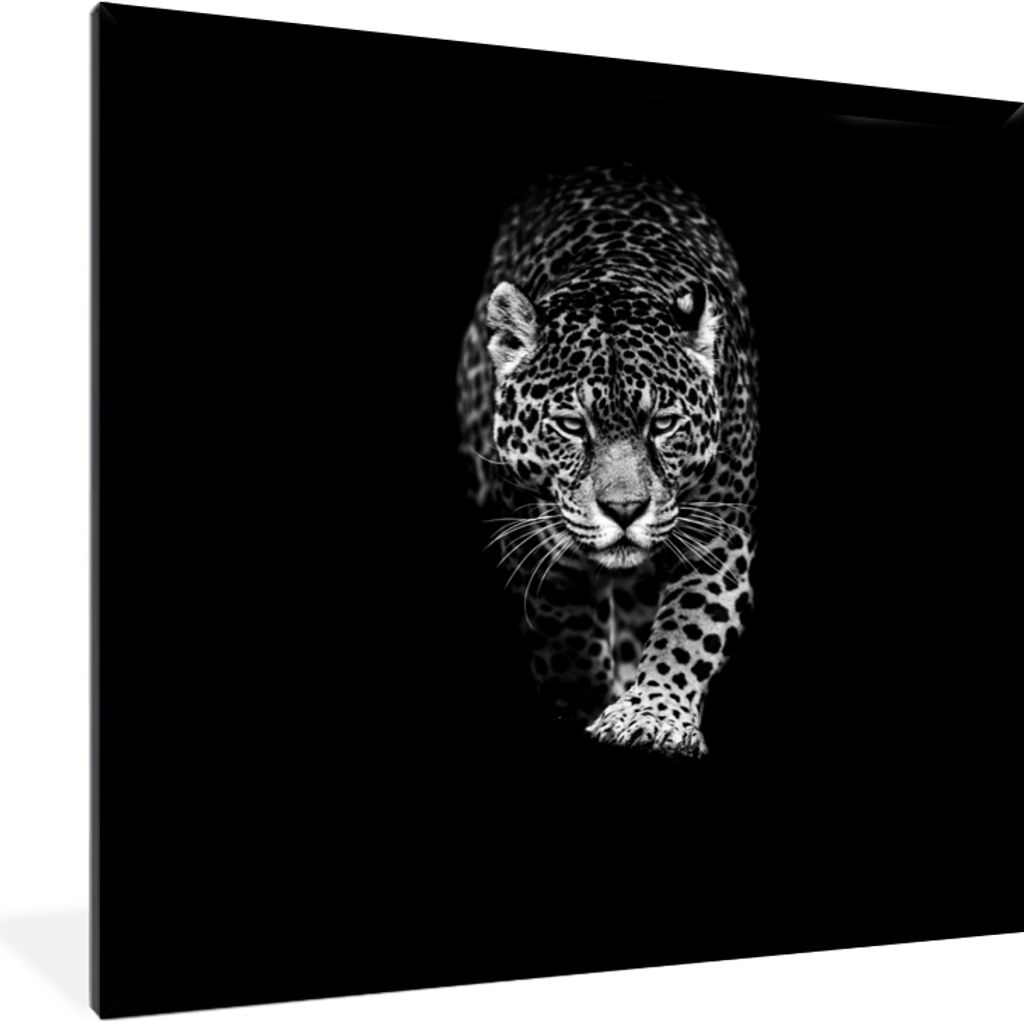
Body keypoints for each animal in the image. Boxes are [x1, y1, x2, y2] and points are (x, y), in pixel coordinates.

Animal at [456, 164, 758, 758]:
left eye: (661, 425)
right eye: (574, 426)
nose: (625, 510)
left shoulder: (718, 535)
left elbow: (690, 628)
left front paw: (652, 715)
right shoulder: (536, 541)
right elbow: (565, 635)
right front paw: (582, 705)